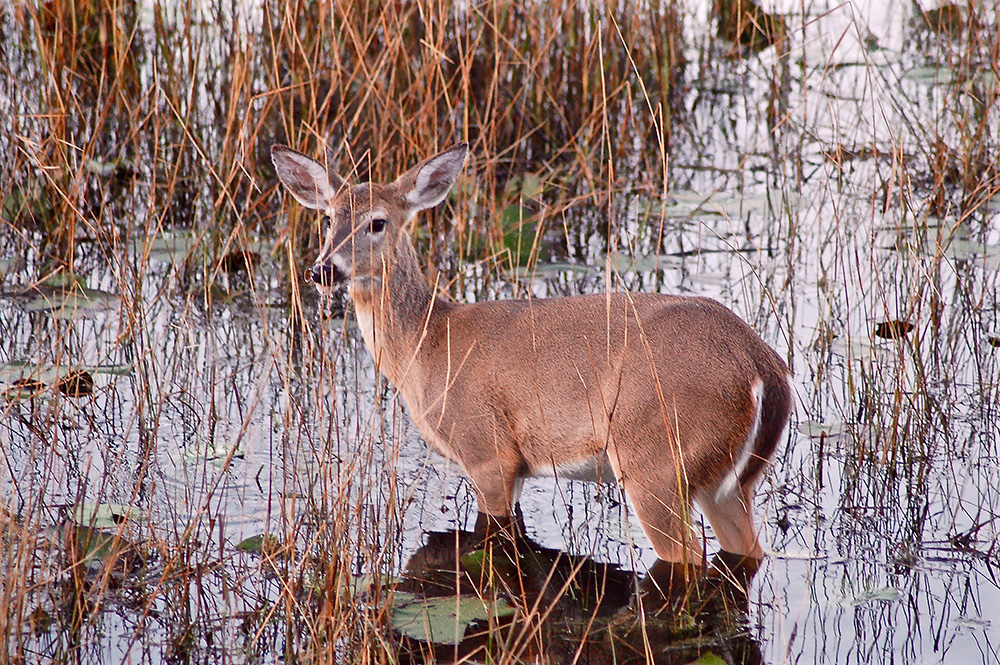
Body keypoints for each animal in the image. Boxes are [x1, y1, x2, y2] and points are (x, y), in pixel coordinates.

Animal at [270, 141, 792, 576]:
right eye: (328, 218)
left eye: (376, 222)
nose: (323, 269)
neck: (429, 345)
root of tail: (763, 368)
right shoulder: (515, 465)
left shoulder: (487, 449)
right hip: (727, 481)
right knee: (749, 549)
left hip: (657, 459)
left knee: (688, 556)